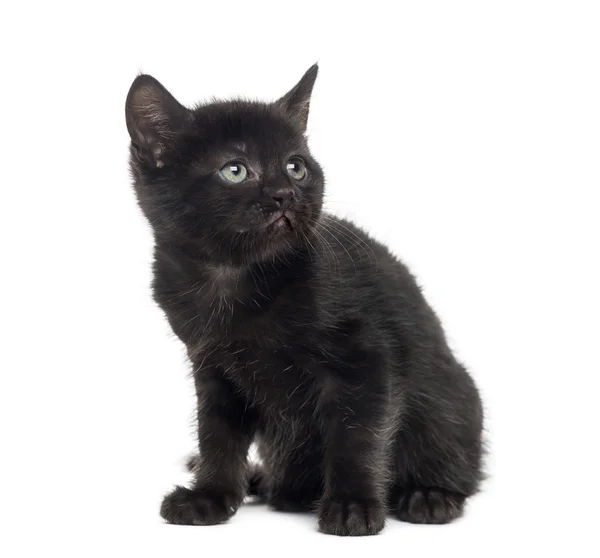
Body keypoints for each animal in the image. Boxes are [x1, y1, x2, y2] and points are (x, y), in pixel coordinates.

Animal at [125, 64, 482, 540]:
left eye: (296, 167)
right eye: (234, 170)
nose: (284, 194)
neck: (233, 278)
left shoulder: (364, 358)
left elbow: (357, 434)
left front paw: (352, 506)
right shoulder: (213, 367)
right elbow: (216, 435)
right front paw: (210, 496)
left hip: (448, 398)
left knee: (457, 460)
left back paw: (429, 496)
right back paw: (269, 485)